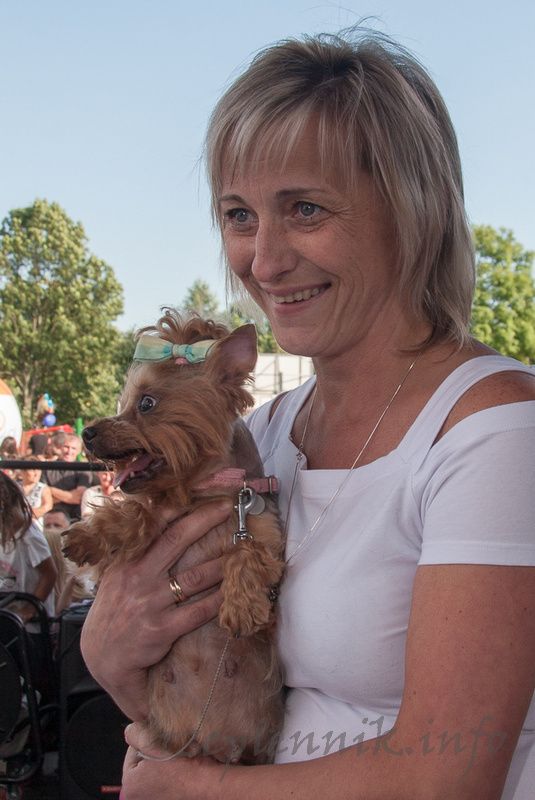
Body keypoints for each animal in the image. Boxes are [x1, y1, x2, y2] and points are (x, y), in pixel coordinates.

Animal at [63, 310, 285, 764]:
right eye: (123, 404)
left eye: (147, 403)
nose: (88, 432)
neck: (201, 493)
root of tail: (212, 745)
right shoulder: (155, 513)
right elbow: (133, 511)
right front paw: (87, 537)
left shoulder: (265, 533)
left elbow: (245, 551)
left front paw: (240, 606)